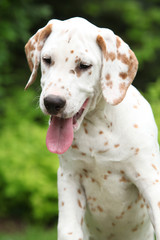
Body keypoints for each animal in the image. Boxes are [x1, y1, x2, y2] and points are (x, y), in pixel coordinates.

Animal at [24, 16, 160, 240]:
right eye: (47, 60)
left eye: (84, 65)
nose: (52, 102)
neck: (98, 127)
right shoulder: (69, 179)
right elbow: (69, 229)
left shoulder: (149, 178)